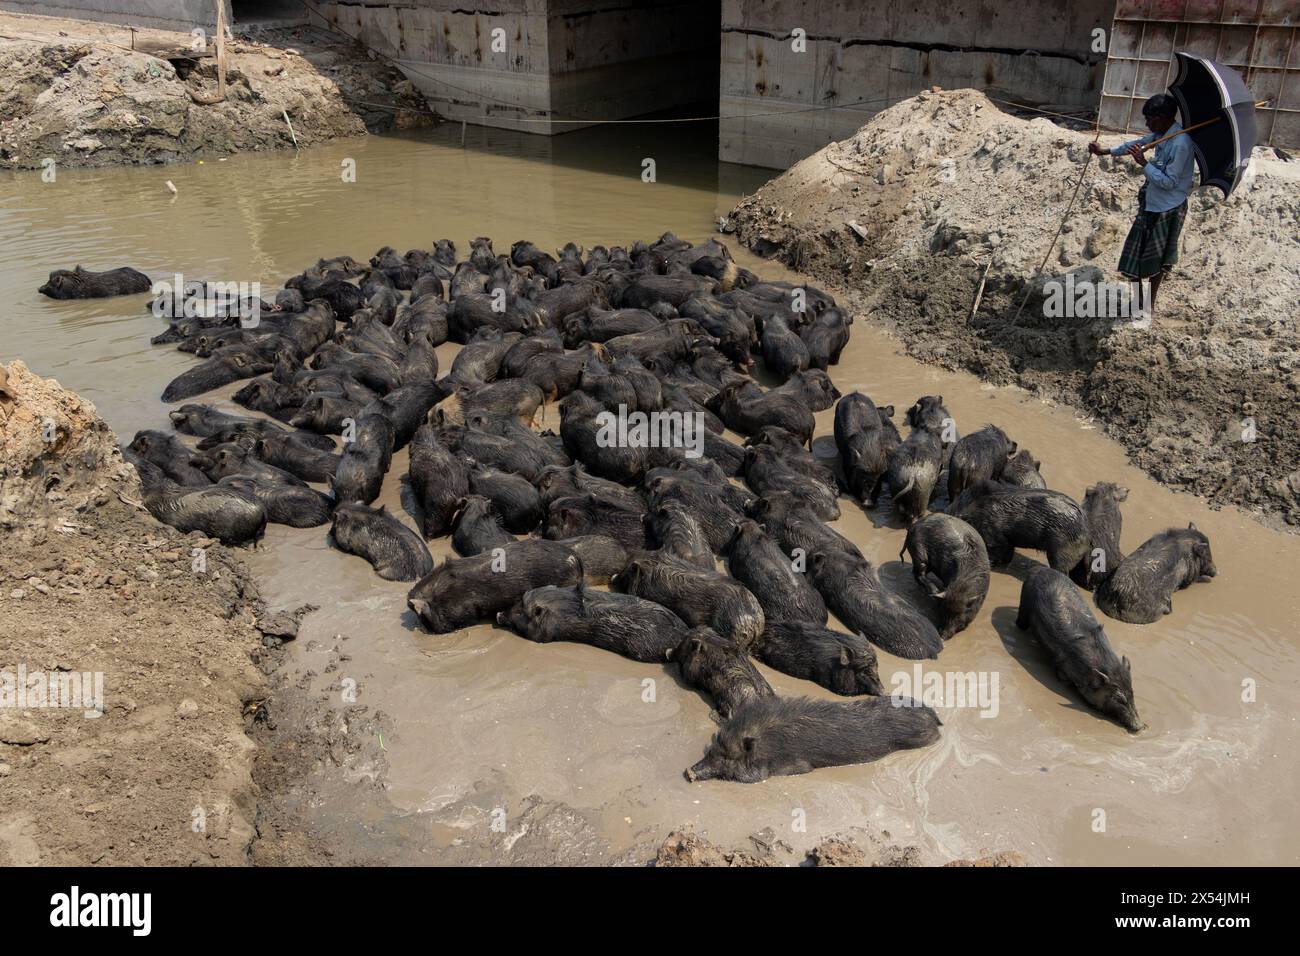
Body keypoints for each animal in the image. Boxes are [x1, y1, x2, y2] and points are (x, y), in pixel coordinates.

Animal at [1019, 567, 1144, 733]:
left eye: (1132, 693)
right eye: (1119, 699)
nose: (1140, 726)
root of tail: (1039, 569)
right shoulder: (1062, 666)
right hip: (1024, 601)